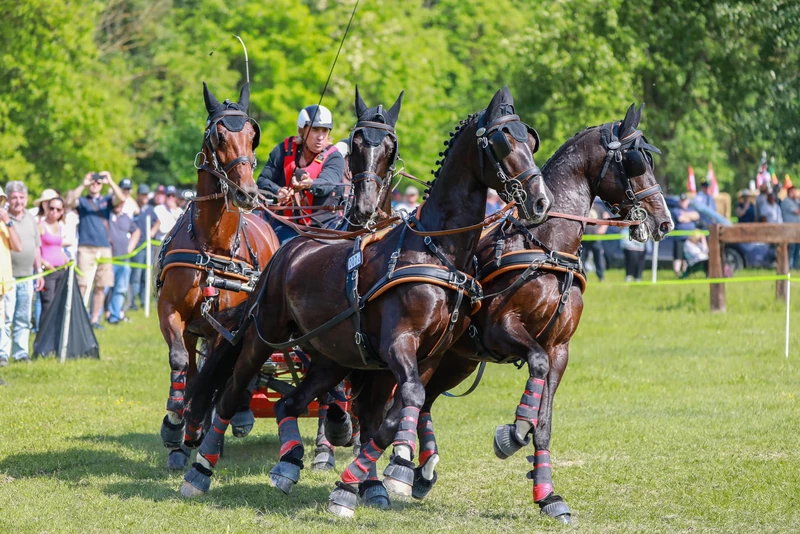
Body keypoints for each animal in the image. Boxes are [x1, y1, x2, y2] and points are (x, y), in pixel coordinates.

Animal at [156, 81, 282, 472]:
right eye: (218, 135)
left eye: (253, 136)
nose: (247, 193)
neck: (214, 244)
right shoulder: (173, 313)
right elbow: (182, 363)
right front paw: (175, 425)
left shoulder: (223, 326)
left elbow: (215, 373)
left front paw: (195, 426)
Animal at [180, 89, 556, 524]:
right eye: (501, 142)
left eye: (530, 140)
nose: (540, 201)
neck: (436, 250)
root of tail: (287, 250)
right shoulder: (398, 344)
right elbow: (403, 404)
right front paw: (359, 483)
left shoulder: (429, 356)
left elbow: (392, 418)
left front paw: (360, 484)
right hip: (265, 336)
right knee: (229, 393)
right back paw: (200, 469)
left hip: (333, 356)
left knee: (293, 401)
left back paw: (290, 462)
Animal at [354, 102, 672, 524]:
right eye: (636, 162)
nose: (664, 221)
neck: (547, 246)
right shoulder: (502, 331)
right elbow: (534, 366)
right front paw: (513, 432)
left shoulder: (560, 349)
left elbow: (546, 422)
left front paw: (548, 494)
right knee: (388, 403)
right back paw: (389, 471)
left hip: (457, 360)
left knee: (424, 400)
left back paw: (419, 470)